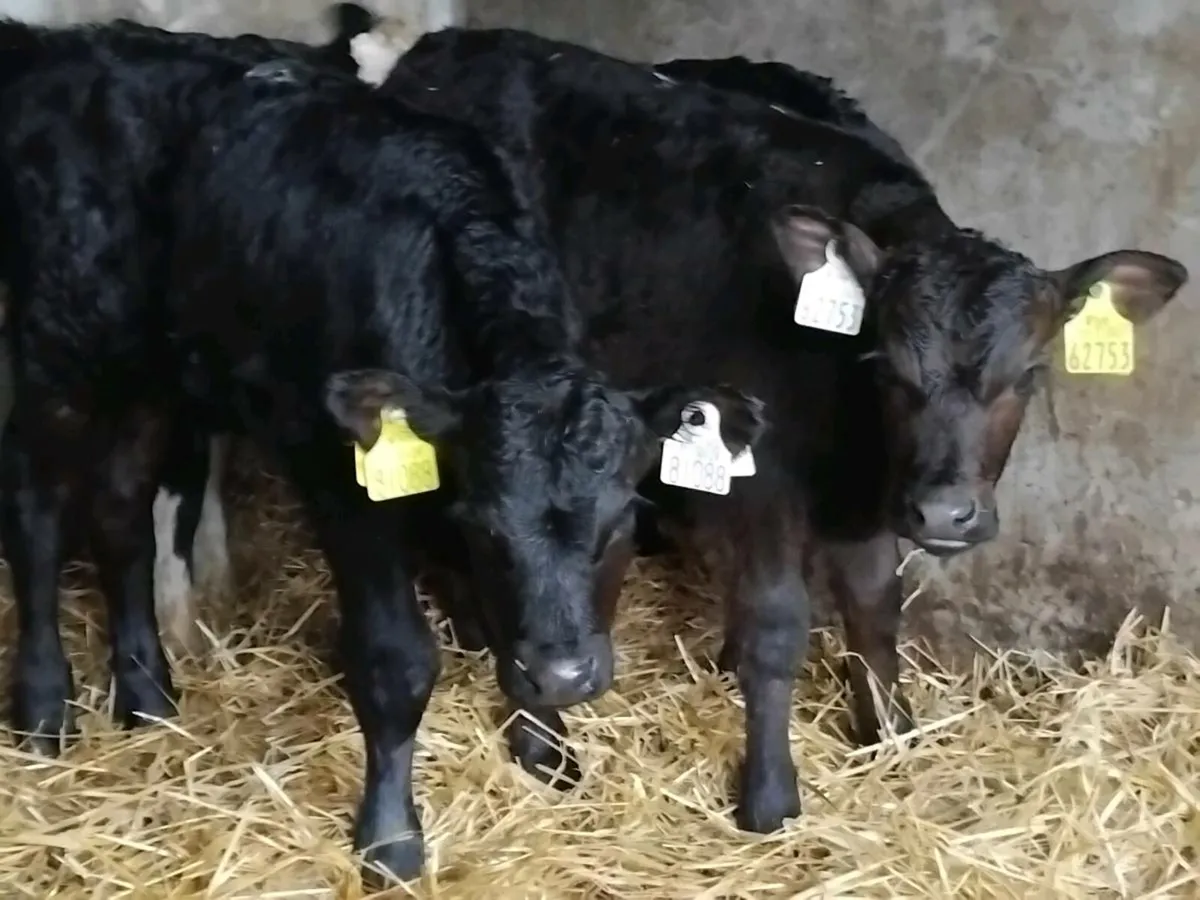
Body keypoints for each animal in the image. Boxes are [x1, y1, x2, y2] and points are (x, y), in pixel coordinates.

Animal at [0, 20, 764, 882]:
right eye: (484, 526)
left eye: (621, 526)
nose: (568, 674)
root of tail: (77, 44)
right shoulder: (348, 491)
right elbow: (396, 663)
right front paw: (392, 838)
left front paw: (544, 748)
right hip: (57, 348)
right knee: (33, 508)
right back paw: (42, 705)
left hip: (151, 374)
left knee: (122, 511)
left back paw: (146, 694)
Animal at [362, 24, 1187, 837]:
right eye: (887, 365)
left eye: (1027, 375)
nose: (946, 514)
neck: (855, 432)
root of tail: (446, 46)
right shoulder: (759, 476)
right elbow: (777, 623)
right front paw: (768, 795)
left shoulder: (867, 497)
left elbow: (875, 606)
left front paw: (888, 732)